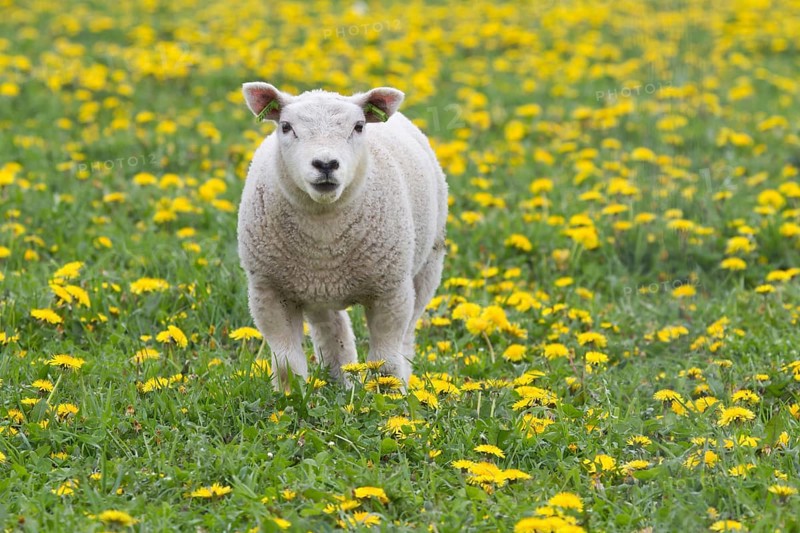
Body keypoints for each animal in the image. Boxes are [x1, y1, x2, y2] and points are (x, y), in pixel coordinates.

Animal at [237, 82, 448, 390]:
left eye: (358, 126)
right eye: (286, 127)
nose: (326, 164)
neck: (324, 232)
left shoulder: (391, 291)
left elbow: (386, 360)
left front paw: (389, 395)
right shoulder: (269, 291)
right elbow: (287, 363)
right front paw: (290, 396)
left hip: (427, 265)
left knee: (407, 333)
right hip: (310, 287)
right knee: (331, 328)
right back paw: (341, 378)